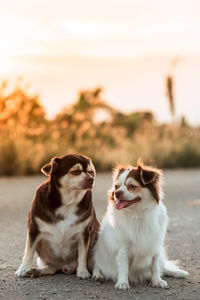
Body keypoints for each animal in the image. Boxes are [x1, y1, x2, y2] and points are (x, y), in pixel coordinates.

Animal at [93, 162, 188, 290]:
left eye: (132, 186)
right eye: (116, 187)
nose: (117, 193)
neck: (138, 213)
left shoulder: (155, 244)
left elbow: (155, 266)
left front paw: (157, 280)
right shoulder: (123, 248)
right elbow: (123, 267)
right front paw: (123, 282)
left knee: (162, 267)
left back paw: (179, 273)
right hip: (99, 250)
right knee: (97, 265)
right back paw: (97, 275)